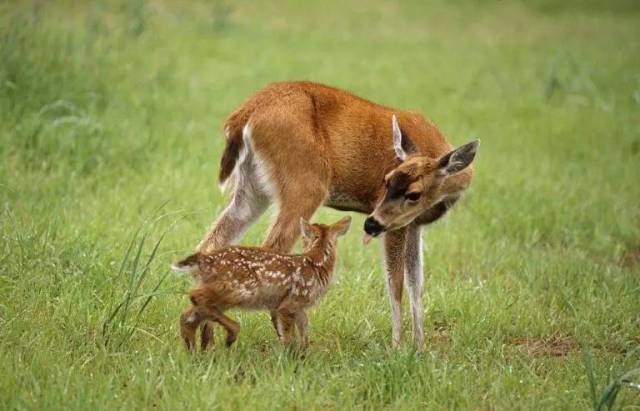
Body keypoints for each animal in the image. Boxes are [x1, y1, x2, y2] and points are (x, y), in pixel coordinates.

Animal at [174, 216, 350, 350]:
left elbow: (304, 331)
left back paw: (194, 351)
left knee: (188, 315)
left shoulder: (300, 308)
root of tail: (204, 260)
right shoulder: (289, 303)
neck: (316, 263)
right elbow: (288, 336)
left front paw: (303, 355)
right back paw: (231, 335)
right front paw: (290, 358)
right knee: (195, 297)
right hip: (239, 289)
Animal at [198, 81, 478, 350]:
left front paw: (420, 347)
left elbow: (416, 284)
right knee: (270, 250)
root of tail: (246, 112)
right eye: (386, 180)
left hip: (253, 189)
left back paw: (206, 340)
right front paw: (397, 347)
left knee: (209, 245)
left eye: (413, 194)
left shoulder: (414, 225)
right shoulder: (395, 225)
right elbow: (396, 283)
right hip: (305, 183)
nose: (370, 223)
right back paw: (282, 338)